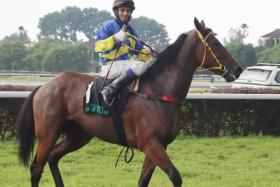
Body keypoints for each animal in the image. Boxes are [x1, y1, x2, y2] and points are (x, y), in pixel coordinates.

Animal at [15, 17, 243, 187]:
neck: (159, 92)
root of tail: (44, 86)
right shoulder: (150, 144)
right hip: (48, 133)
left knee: (53, 158)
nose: (238, 68)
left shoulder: (158, 146)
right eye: (215, 44)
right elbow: (175, 177)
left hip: (79, 134)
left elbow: (143, 181)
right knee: (36, 168)